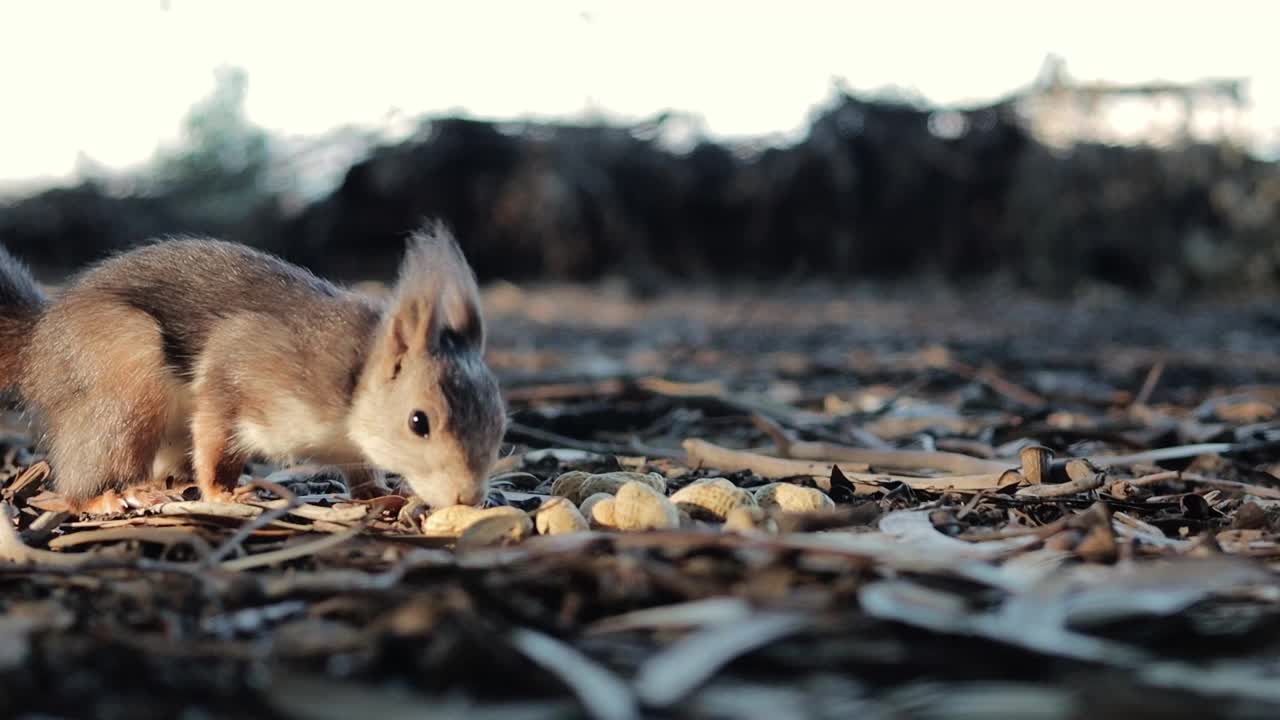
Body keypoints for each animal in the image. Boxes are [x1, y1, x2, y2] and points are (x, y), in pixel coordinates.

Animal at [0, 221, 504, 512]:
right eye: (419, 422)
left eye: (500, 424)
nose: (469, 498)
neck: (354, 384)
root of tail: (39, 340)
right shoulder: (241, 365)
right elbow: (216, 439)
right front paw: (222, 492)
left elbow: (359, 468)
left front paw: (377, 493)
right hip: (125, 373)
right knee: (76, 482)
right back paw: (112, 494)